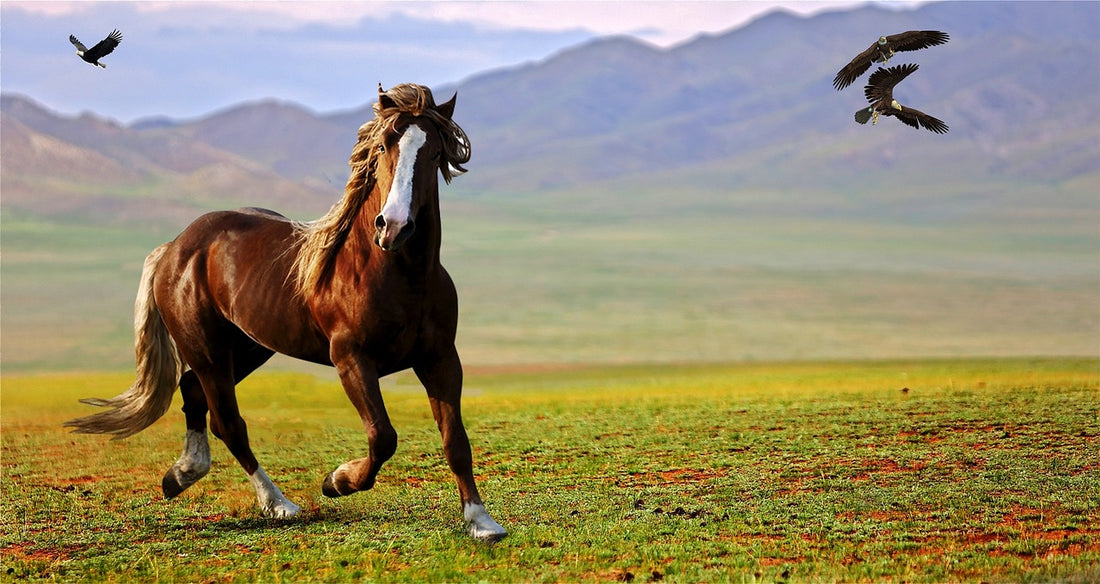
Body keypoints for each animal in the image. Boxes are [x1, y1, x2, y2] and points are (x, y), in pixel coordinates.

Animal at [63, 83, 507, 542]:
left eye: (435, 153)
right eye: (384, 145)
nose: (394, 227)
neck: (395, 273)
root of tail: (175, 247)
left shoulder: (440, 359)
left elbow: (456, 441)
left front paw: (482, 521)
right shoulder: (351, 359)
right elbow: (383, 436)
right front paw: (337, 481)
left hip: (247, 349)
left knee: (194, 393)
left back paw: (182, 474)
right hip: (208, 351)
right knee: (229, 422)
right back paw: (278, 504)